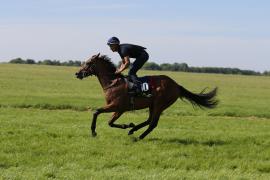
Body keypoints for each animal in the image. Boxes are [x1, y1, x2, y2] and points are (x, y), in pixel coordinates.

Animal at [75, 52, 218, 140]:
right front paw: (128, 126)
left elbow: (98, 113)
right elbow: (108, 121)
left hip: (160, 104)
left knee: (153, 123)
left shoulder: (118, 107)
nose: (77, 73)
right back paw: (133, 130)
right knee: (149, 120)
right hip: (152, 105)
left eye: (88, 63)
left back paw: (139, 137)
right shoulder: (117, 108)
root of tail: (177, 85)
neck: (112, 82)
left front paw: (94, 131)